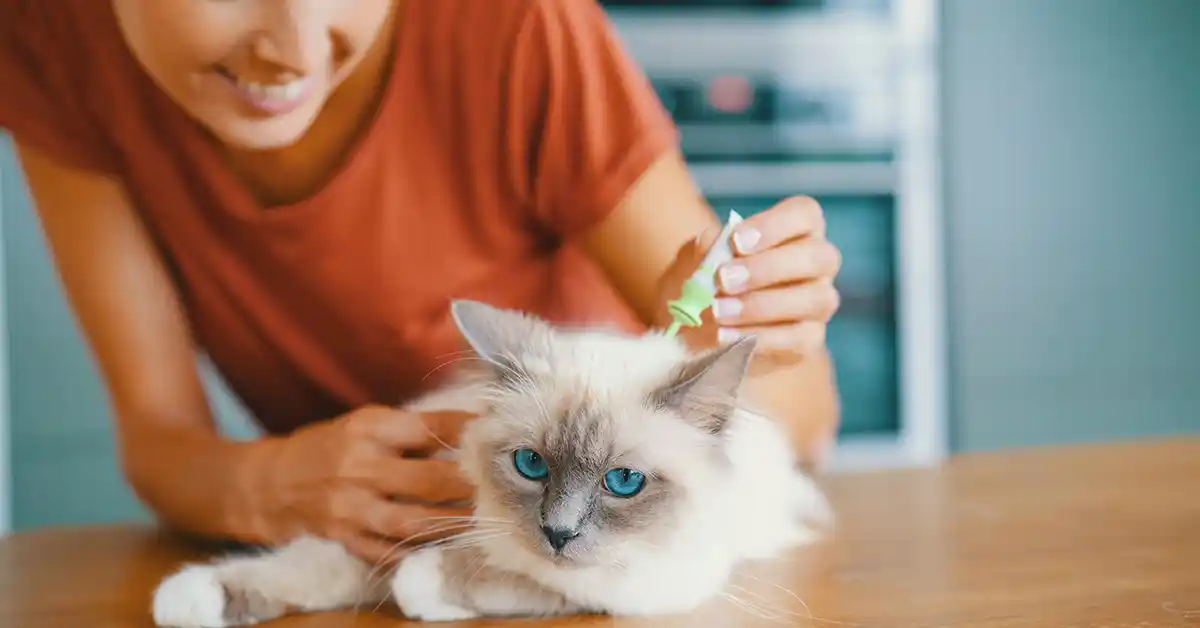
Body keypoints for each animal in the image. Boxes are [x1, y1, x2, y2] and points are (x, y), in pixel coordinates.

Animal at [150, 302, 835, 624]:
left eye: (623, 482)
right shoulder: (387, 532)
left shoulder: (632, 585)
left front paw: (425, 591)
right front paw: (187, 600)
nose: (558, 533)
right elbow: (288, 569)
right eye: (531, 465)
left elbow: (497, 578)